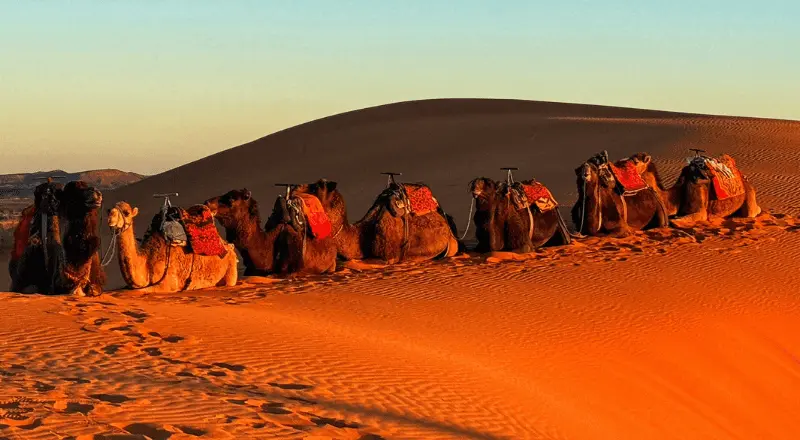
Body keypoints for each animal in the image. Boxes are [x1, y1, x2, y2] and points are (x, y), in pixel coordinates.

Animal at [106, 201, 238, 292]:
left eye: (126, 213)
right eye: (108, 210)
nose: (110, 218)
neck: (147, 261)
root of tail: (229, 246)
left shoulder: (168, 283)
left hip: (230, 272)